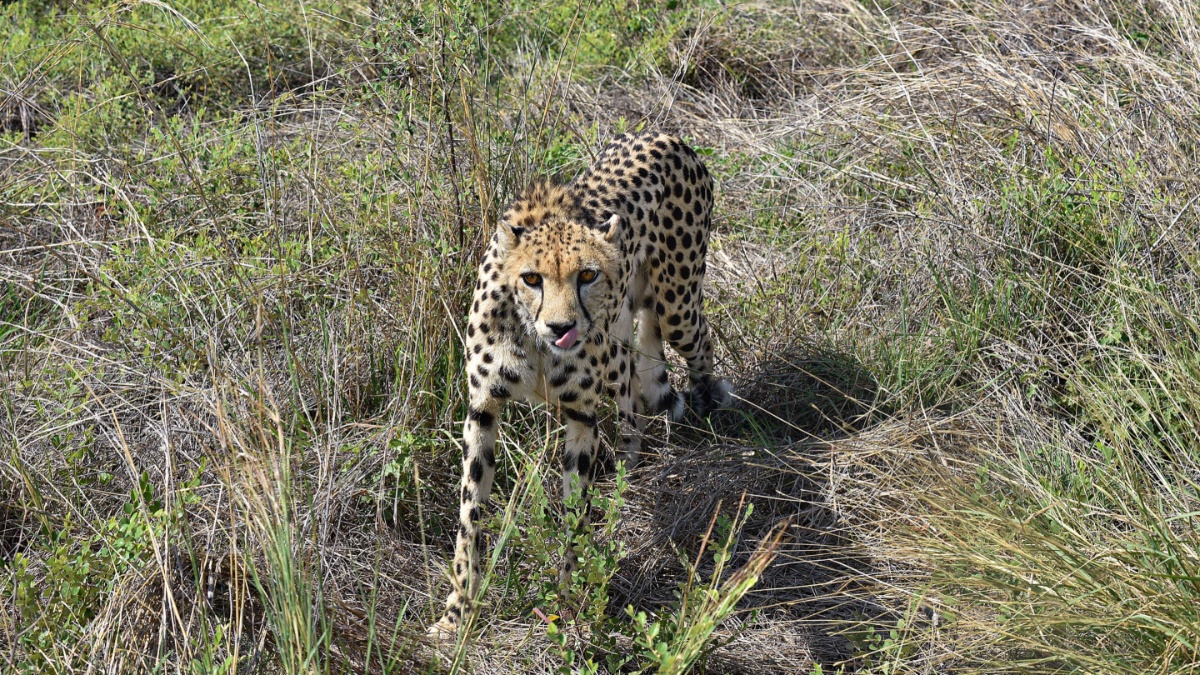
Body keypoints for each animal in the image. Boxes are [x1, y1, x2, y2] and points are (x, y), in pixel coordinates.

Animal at [432, 131, 729, 634]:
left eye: (587, 274)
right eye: (531, 278)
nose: (562, 327)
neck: (533, 339)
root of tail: (663, 134)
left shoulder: (580, 416)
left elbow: (574, 516)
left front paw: (569, 601)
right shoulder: (482, 410)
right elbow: (470, 518)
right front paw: (457, 614)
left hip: (677, 306)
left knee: (699, 345)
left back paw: (707, 415)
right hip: (625, 333)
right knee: (634, 391)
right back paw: (629, 470)